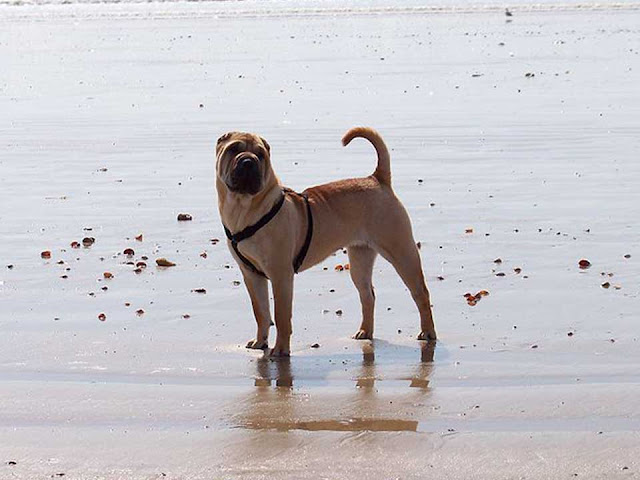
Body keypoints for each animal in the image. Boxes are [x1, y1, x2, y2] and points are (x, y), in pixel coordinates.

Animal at [215, 127, 436, 356]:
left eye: (261, 155)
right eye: (233, 149)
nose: (248, 161)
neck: (244, 208)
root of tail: (377, 179)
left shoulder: (281, 275)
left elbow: (281, 316)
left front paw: (281, 349)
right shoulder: (251, 275)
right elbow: (261, 312)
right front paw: (260, 342)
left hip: (401, 253)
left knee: (421, 293)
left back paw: (427, 332)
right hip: (360, 259)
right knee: (368, 295)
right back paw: (365, 331)